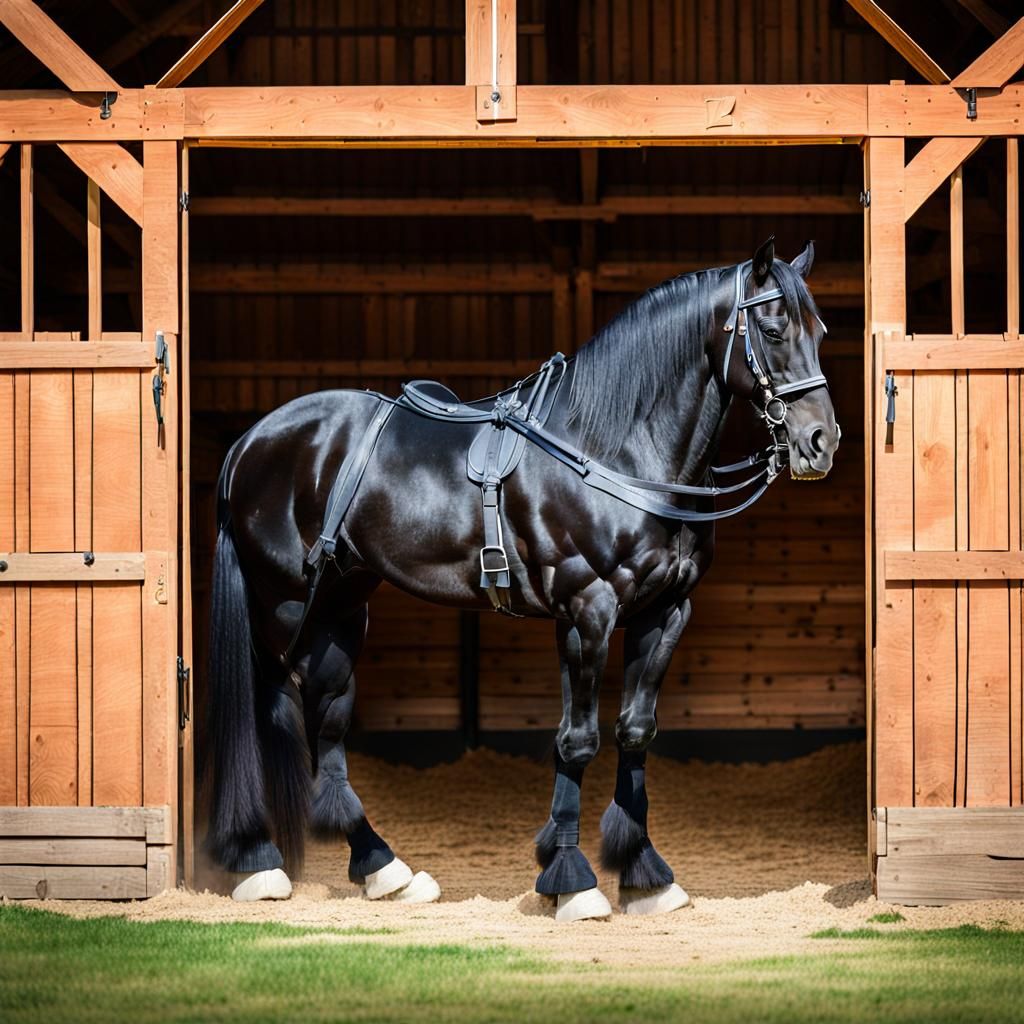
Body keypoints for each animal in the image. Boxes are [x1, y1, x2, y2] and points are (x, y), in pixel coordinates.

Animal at [204, 236, 840, 921]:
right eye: (773, 329)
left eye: (819, 331)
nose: (820, 441)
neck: (613, 452)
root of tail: (251, 442)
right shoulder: (589, 611)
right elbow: (579, 740)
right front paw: (573, 881)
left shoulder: (662, 611)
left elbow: (633, 731)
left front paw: (643, 873)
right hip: (285, 606)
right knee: (269, 707)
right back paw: (257, 859)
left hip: (341, 608)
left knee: (325, 721)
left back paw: (383, 869)